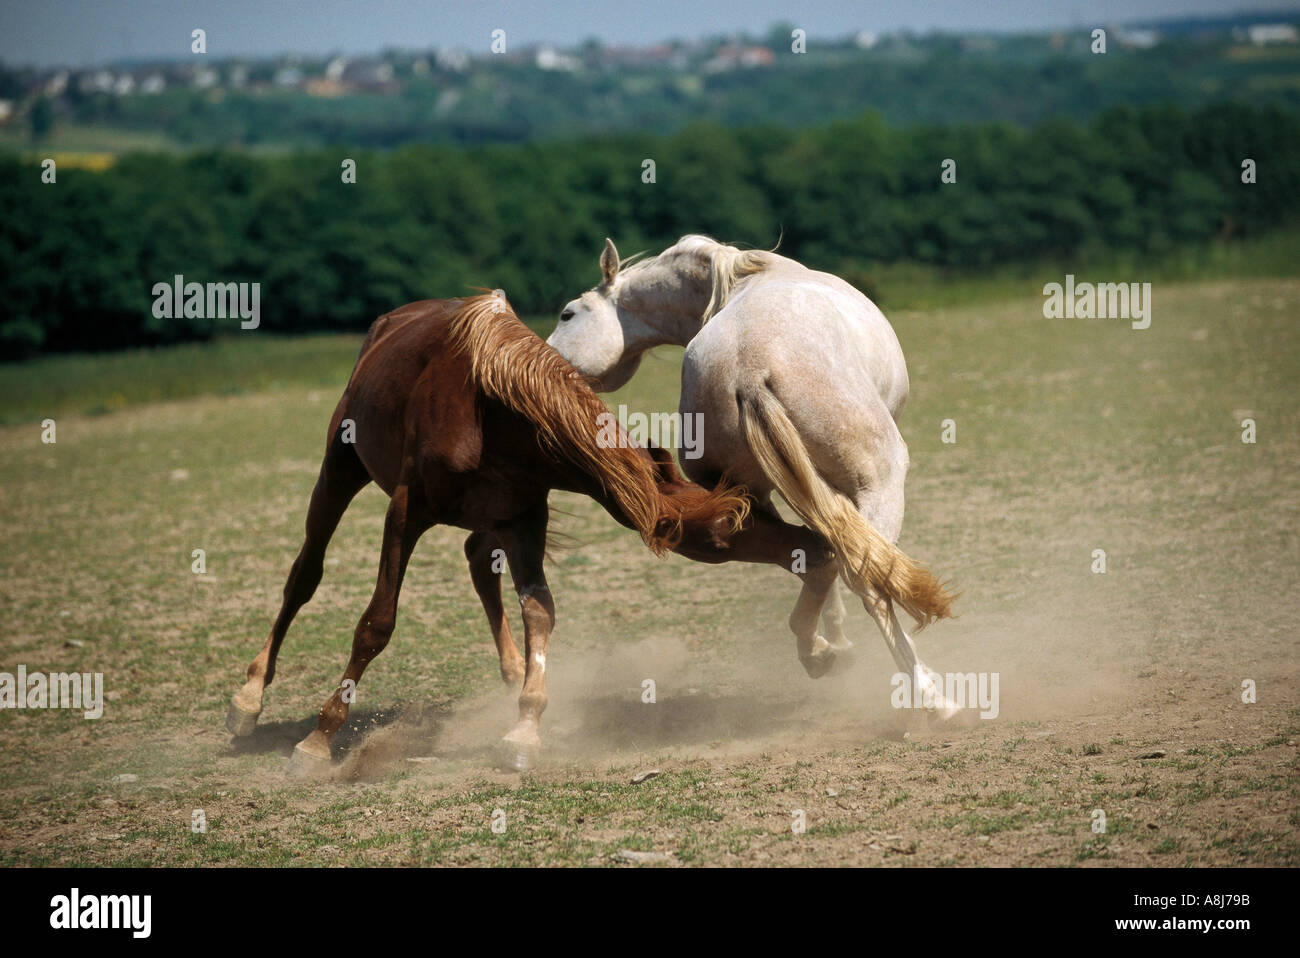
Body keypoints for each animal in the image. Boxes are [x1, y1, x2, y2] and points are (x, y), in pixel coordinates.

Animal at [223, 289, 816, 769]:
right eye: (722, 536)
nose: (811, 547)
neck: (492, 412)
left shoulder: (523, 519)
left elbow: (539, 612)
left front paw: (526, 726)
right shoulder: (406, 512)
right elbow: (377, 624)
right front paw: (319, 739)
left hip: (485, 522)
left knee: (476, 563)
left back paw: (512, 674)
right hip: (340, 467)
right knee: (305, 573)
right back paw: (249, 699)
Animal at [543, 236, 961, 712]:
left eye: (567, 314)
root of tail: (749, 372)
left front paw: (832, 642)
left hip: (754, 496)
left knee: (812, 555)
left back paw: (817, 652)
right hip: (878, 483)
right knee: (869, 579)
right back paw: (930, 696)